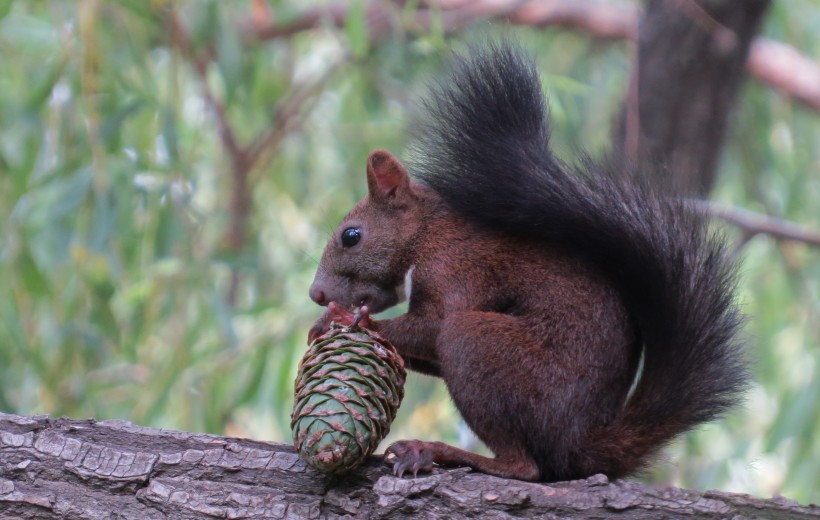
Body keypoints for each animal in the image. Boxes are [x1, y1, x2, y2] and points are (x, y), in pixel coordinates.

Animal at [304, 42, 748, 482]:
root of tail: (577, 441)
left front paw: (349, 319)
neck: (427, 235)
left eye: (351, 236)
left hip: (482, 346)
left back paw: (434, 451)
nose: (316, 294)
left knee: (523, 466)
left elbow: (431, 326)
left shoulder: (459, 269)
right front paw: (323, 322)